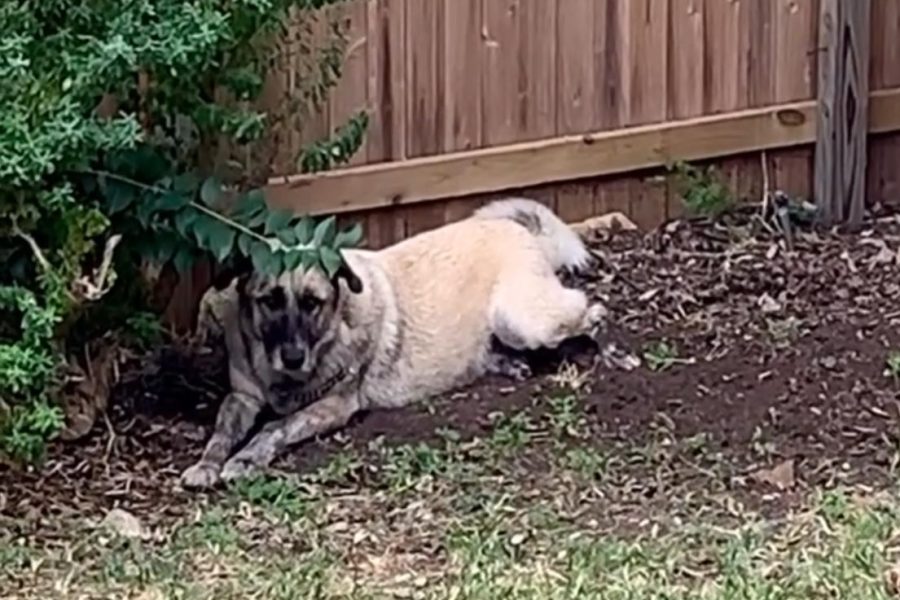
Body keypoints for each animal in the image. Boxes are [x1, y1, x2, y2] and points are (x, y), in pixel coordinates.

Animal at [179, 197, 608, 488]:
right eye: (270, 300)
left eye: (312, 303)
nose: (294, 357)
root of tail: (517, 229)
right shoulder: (242, 397)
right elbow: (221, 432)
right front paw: (206, 464)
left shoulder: (334, 405)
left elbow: (276, 427)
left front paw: (248, 458)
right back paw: (508, 363)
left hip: (520, 319)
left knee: (586, 307)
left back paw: (599, 334)